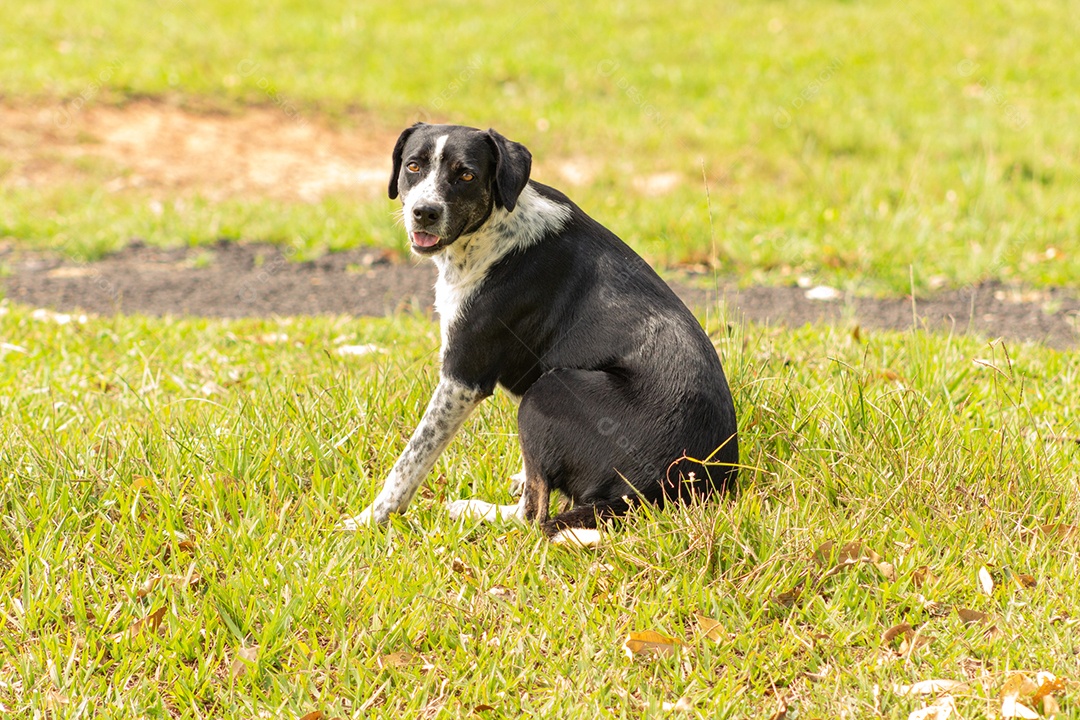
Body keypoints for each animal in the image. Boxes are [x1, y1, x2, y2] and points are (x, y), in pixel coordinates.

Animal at [341, 124, 738, 537]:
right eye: (413, 166)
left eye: (466, 175)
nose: (424, 212)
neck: (496, 226)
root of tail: (664, 488)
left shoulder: (462, 379)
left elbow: (410, 461)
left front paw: (369, 519)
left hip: (548, 389)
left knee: (532, 517)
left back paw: (472, 509)